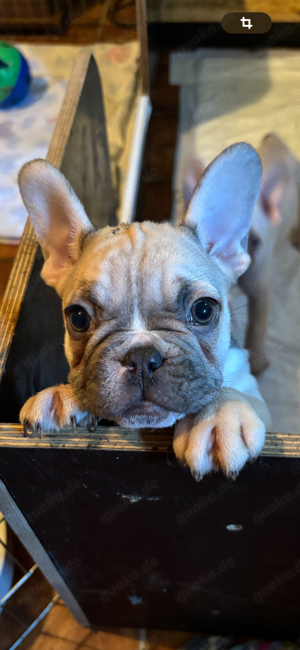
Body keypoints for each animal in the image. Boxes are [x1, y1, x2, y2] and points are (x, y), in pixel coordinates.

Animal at [18, 142, 272, 478]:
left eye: (204, 310)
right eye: (78, 318)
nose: (141, 358)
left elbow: (235, 392)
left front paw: (217, 416)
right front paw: (61, 396)